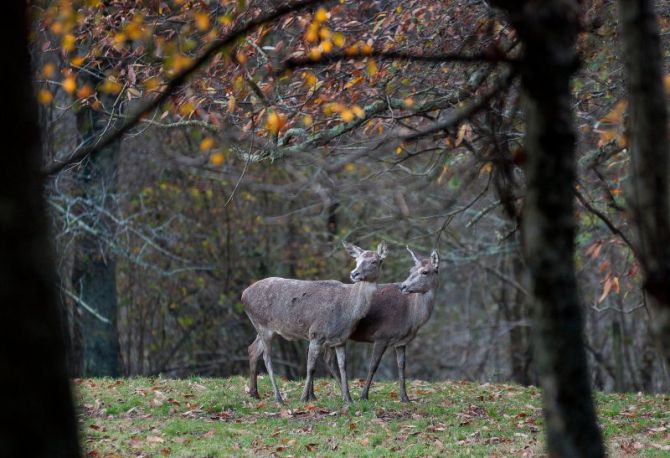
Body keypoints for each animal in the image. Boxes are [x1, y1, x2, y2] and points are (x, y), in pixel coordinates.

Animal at [242, 240, 388, 404]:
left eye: (374, 261)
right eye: (357, 260)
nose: (354, 273)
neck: (348, 310)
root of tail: (243, 294)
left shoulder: (341, 340)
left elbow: (343, 366)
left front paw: (348, 399)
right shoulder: (316, 333)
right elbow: (311, 368)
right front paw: (304, 398)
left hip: (264, 329)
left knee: (253, 349)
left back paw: (254, 393)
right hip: (263, 325)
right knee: (267, 358)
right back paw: (278, 398)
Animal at [322, 247, 438, 400]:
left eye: (425, 271)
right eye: (411, 270)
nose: (403, 286)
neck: (411, 316)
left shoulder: (401, 342)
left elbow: (401, 366)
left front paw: (405, 398)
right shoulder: (382, 335)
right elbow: (373, 365)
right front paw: (364, 396)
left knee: (328, 359)